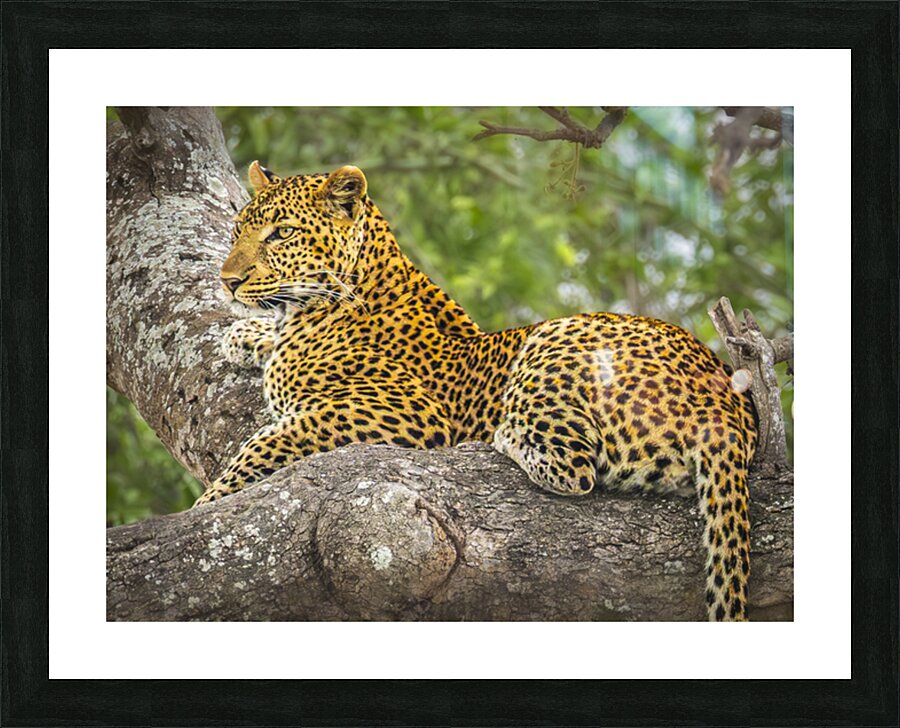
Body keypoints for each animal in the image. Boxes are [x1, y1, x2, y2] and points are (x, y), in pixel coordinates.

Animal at [194, 161, 758, 622]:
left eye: (281, 234)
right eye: (238, 231)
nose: (227, 281)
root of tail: (728, 413)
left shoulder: (409, 414)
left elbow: (265, 442)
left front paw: (204, 506)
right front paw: (243, 336)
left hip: (553, 337)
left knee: (573, 466)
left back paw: (502, 433)